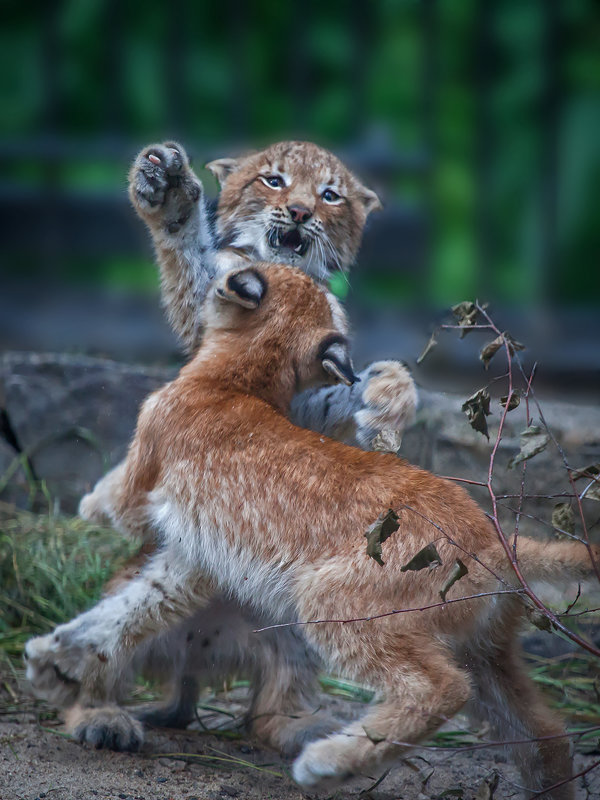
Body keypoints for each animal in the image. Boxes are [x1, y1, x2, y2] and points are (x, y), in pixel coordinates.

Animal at [25, 266, 592, 796]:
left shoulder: (144, 488)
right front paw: (59, 655)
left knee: (441, 688)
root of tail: (491, 538)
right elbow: (130, 609)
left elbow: (112, 504)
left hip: (331, 600)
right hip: (487, 650)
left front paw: (85, 508)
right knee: (544, 733)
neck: (239, 378)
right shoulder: (195, 554)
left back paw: (325, 761)